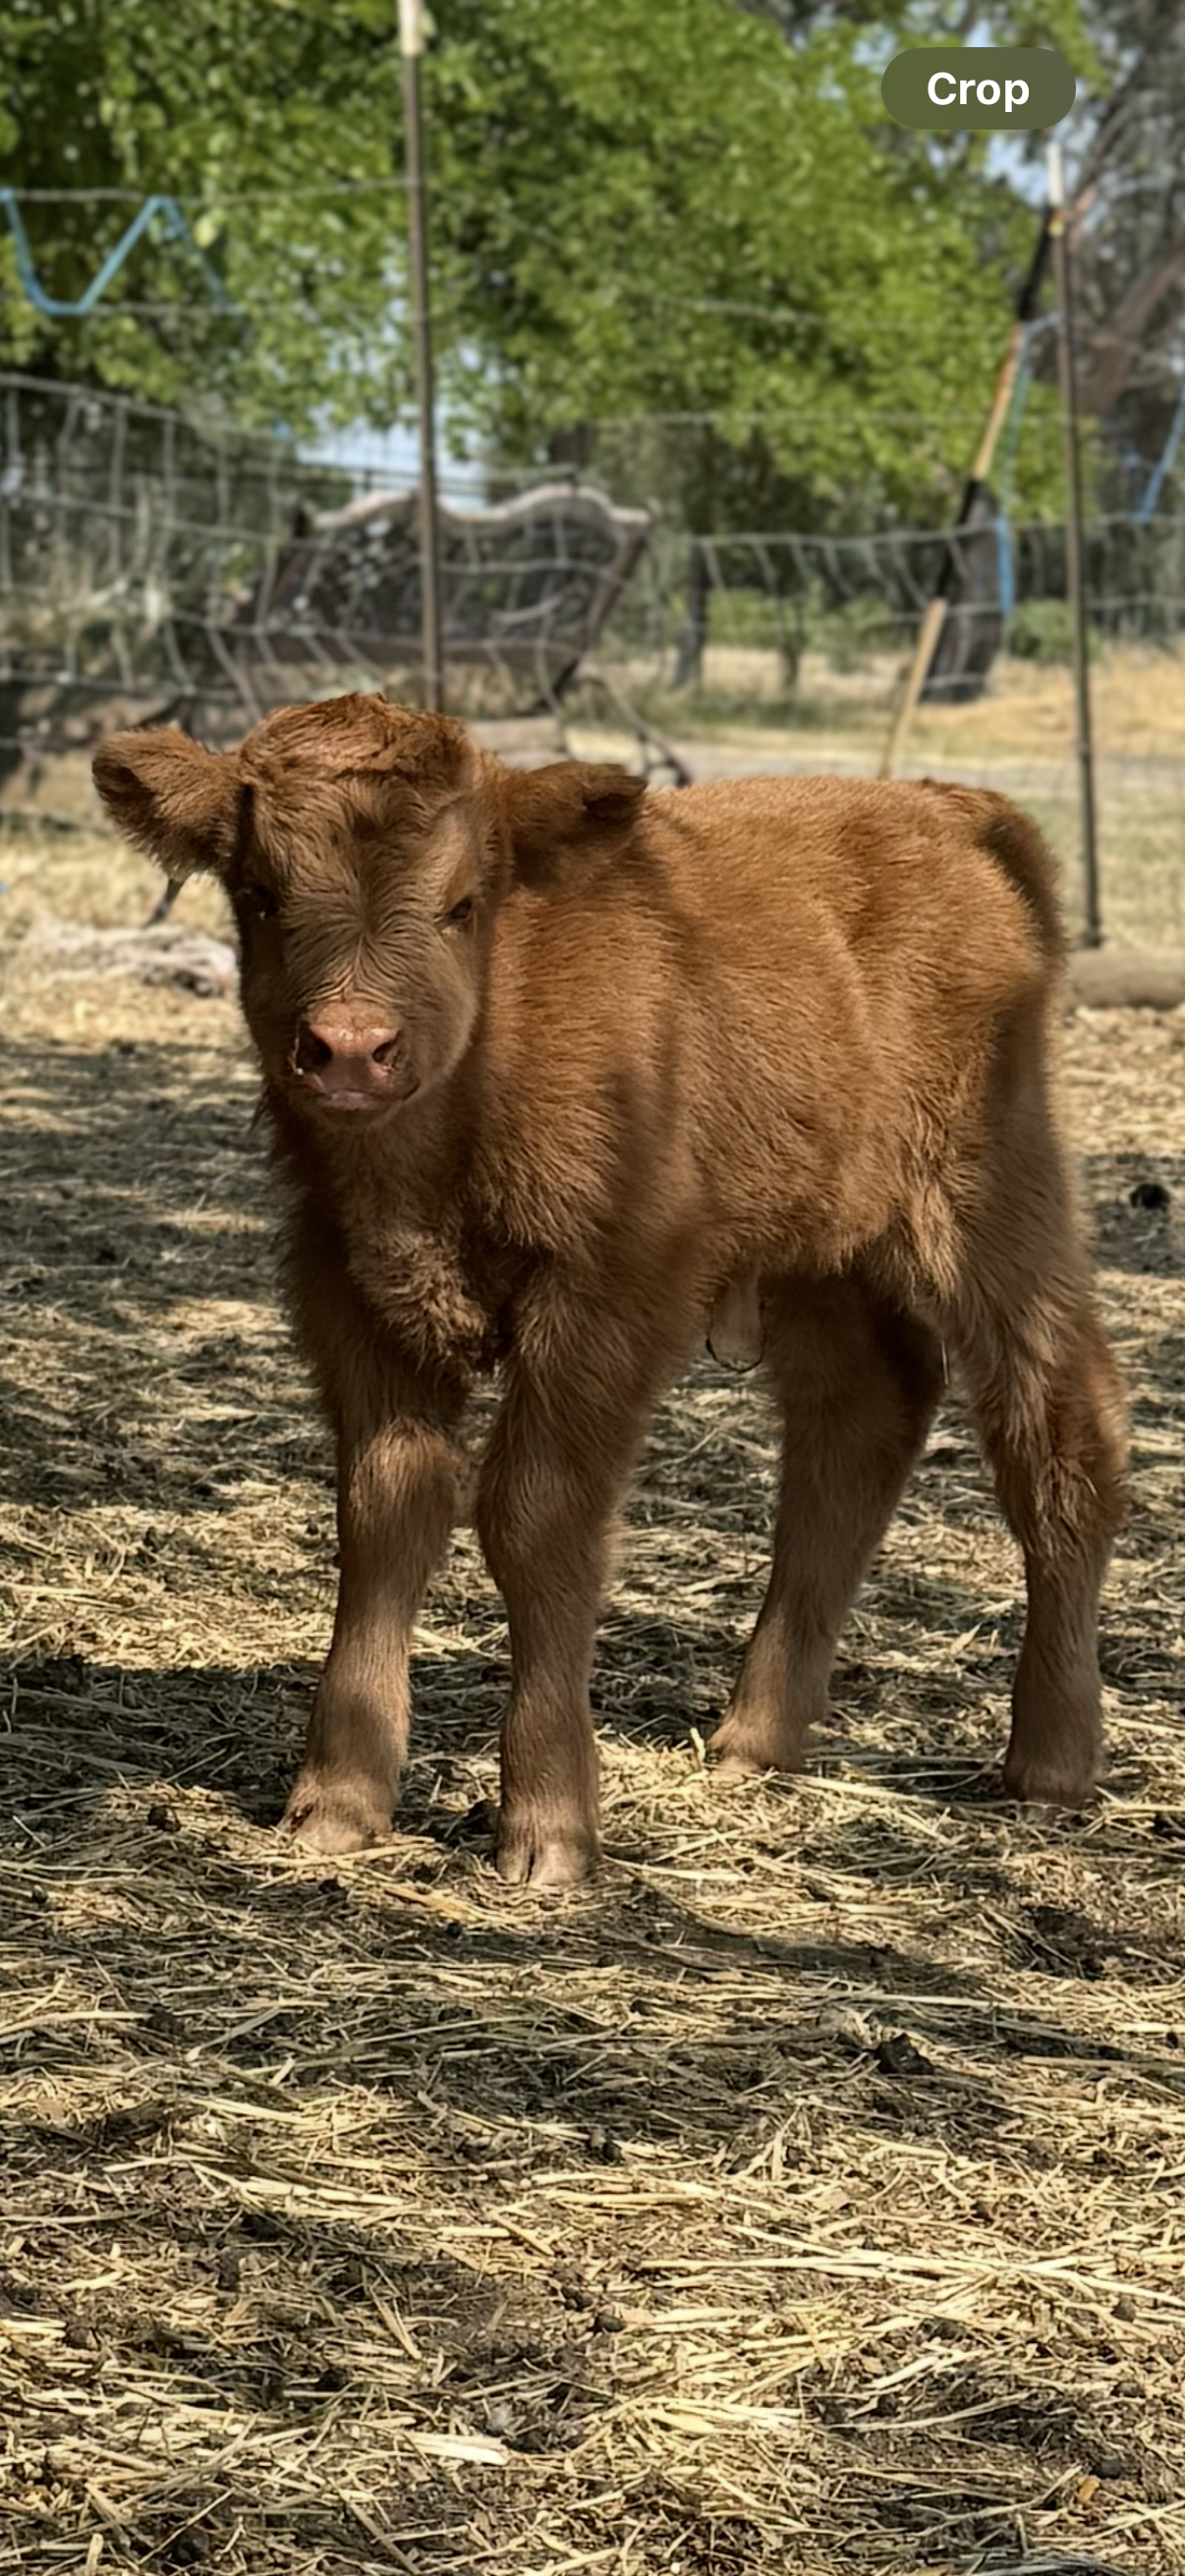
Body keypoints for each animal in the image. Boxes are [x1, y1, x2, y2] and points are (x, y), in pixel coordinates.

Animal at [92, 693, 1127, 1888]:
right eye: (259, 894)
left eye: (462, 905)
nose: (350, 1049)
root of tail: (951, 809)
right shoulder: (348, 1294)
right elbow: (387, 1514)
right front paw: (338, 1801)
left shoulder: (608, 1292)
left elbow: (536, 1518)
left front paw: (547, 1825)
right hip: (818, 1251)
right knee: (862, 1418)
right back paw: (756, 1738)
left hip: (990, 1199)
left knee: (1058, 1425)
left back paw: (1052, 1759)